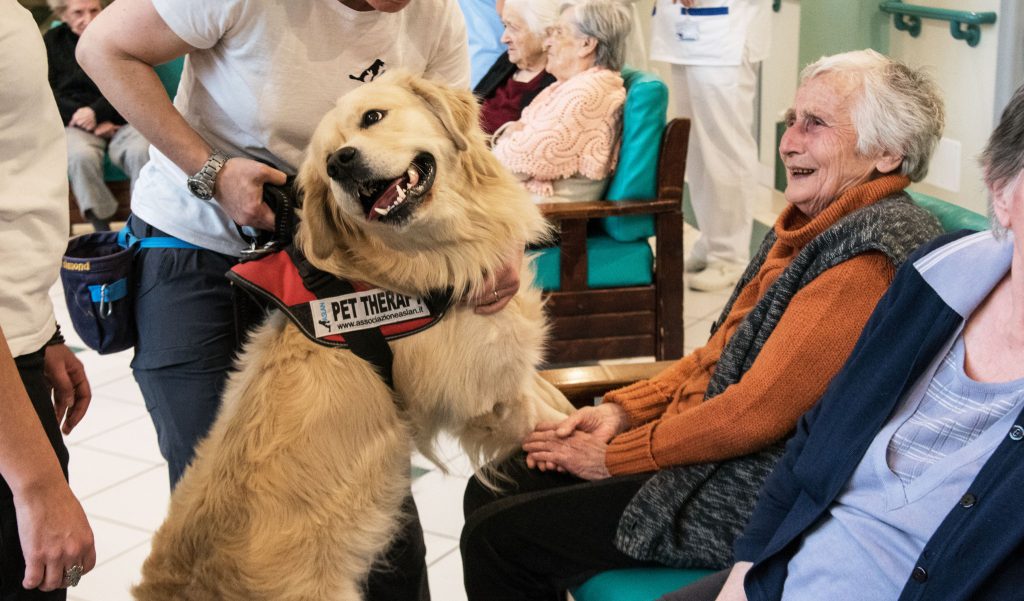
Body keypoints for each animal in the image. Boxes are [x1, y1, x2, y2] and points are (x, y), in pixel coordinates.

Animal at [130, 71, 577, 601]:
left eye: (373, 117)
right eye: (325, 160)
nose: (340, 161)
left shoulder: (513, 371)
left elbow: (555, 397)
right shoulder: (487, 394)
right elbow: (550, 421)